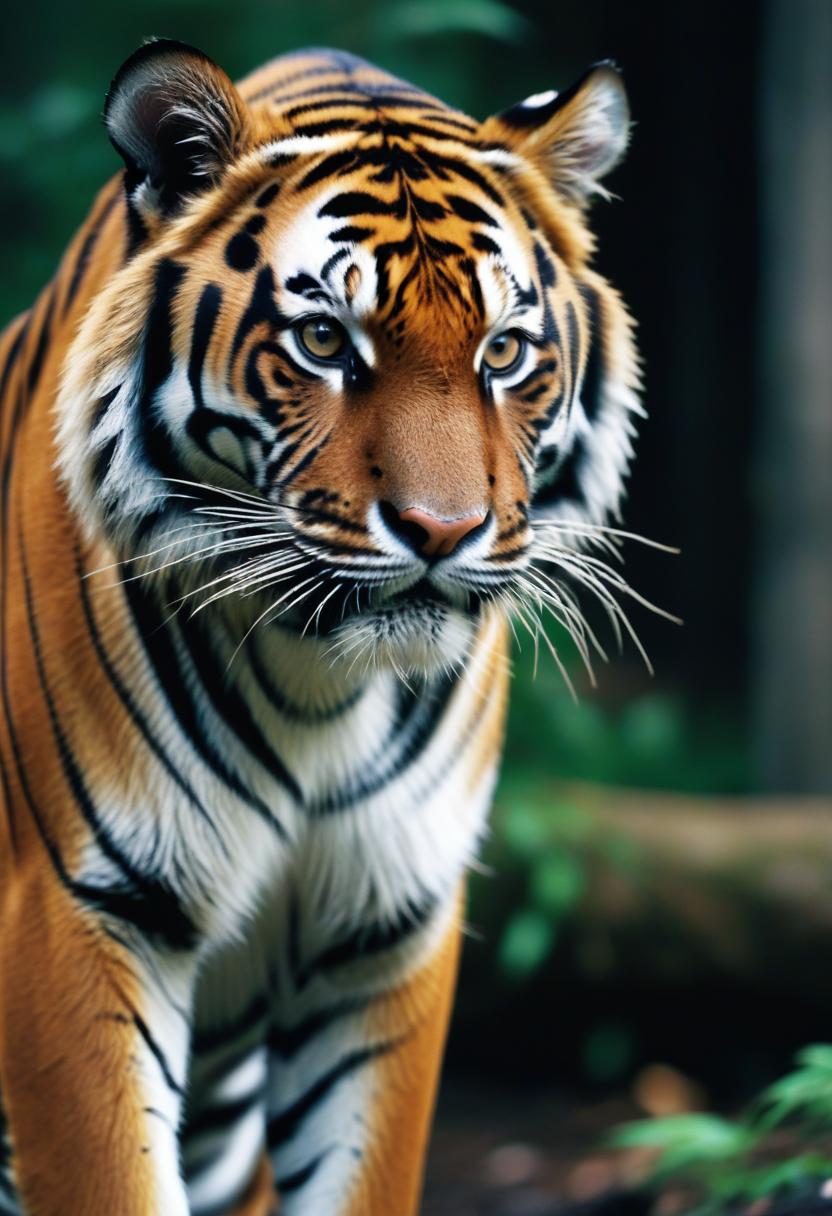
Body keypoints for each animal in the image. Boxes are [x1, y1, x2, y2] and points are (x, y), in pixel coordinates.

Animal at [0, 37, 640, 1216]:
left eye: (504, 353)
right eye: (321, 340)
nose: (443, 531)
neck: (320, 683)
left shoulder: (384, 932)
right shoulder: (76, 912)